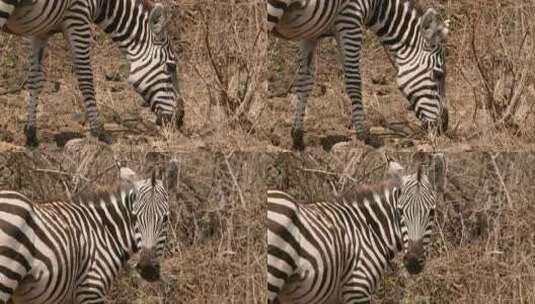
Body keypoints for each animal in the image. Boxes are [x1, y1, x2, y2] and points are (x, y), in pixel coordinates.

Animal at [0, 0, 184, 147]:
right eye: (171, 67)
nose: (180, 119)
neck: (105, 3)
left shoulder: (41, 30)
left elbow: (35, 80)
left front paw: (31, 134)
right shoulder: (78, 17)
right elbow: (86, 77)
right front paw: (99, 131)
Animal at [266, 0, 448, 150]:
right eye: (438, 75)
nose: (443, 127)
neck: (377, 5)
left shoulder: (310, 33)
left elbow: (305, 82)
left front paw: (297, 136)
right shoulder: (350, 20)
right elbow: (354, 81)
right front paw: (363, 135)